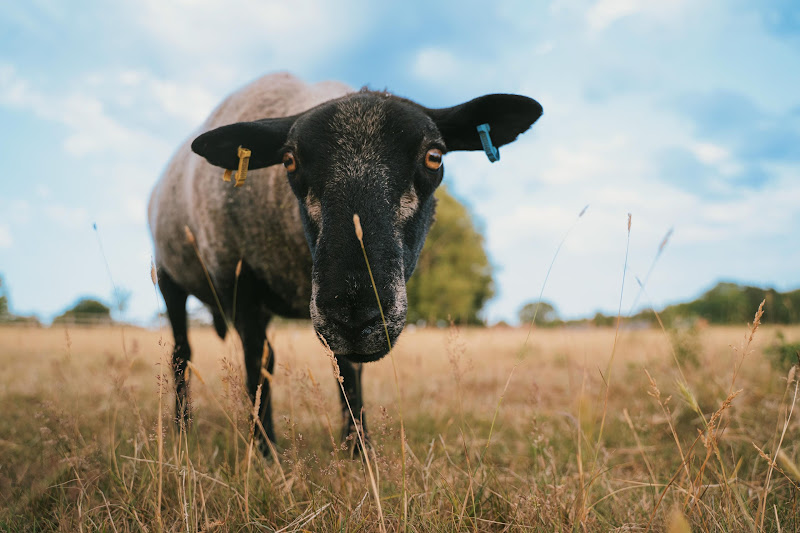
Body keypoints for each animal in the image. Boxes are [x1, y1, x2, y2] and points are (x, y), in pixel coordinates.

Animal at [148, 72, 542, 453]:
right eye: (289, 160)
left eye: (434, 156)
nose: (355, 312)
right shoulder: (237, 278)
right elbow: (258, 362)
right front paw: (264, 451)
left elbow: (347, 370)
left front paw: (358, 447)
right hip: (169, 278)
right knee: (182, 353)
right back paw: (183, 429)